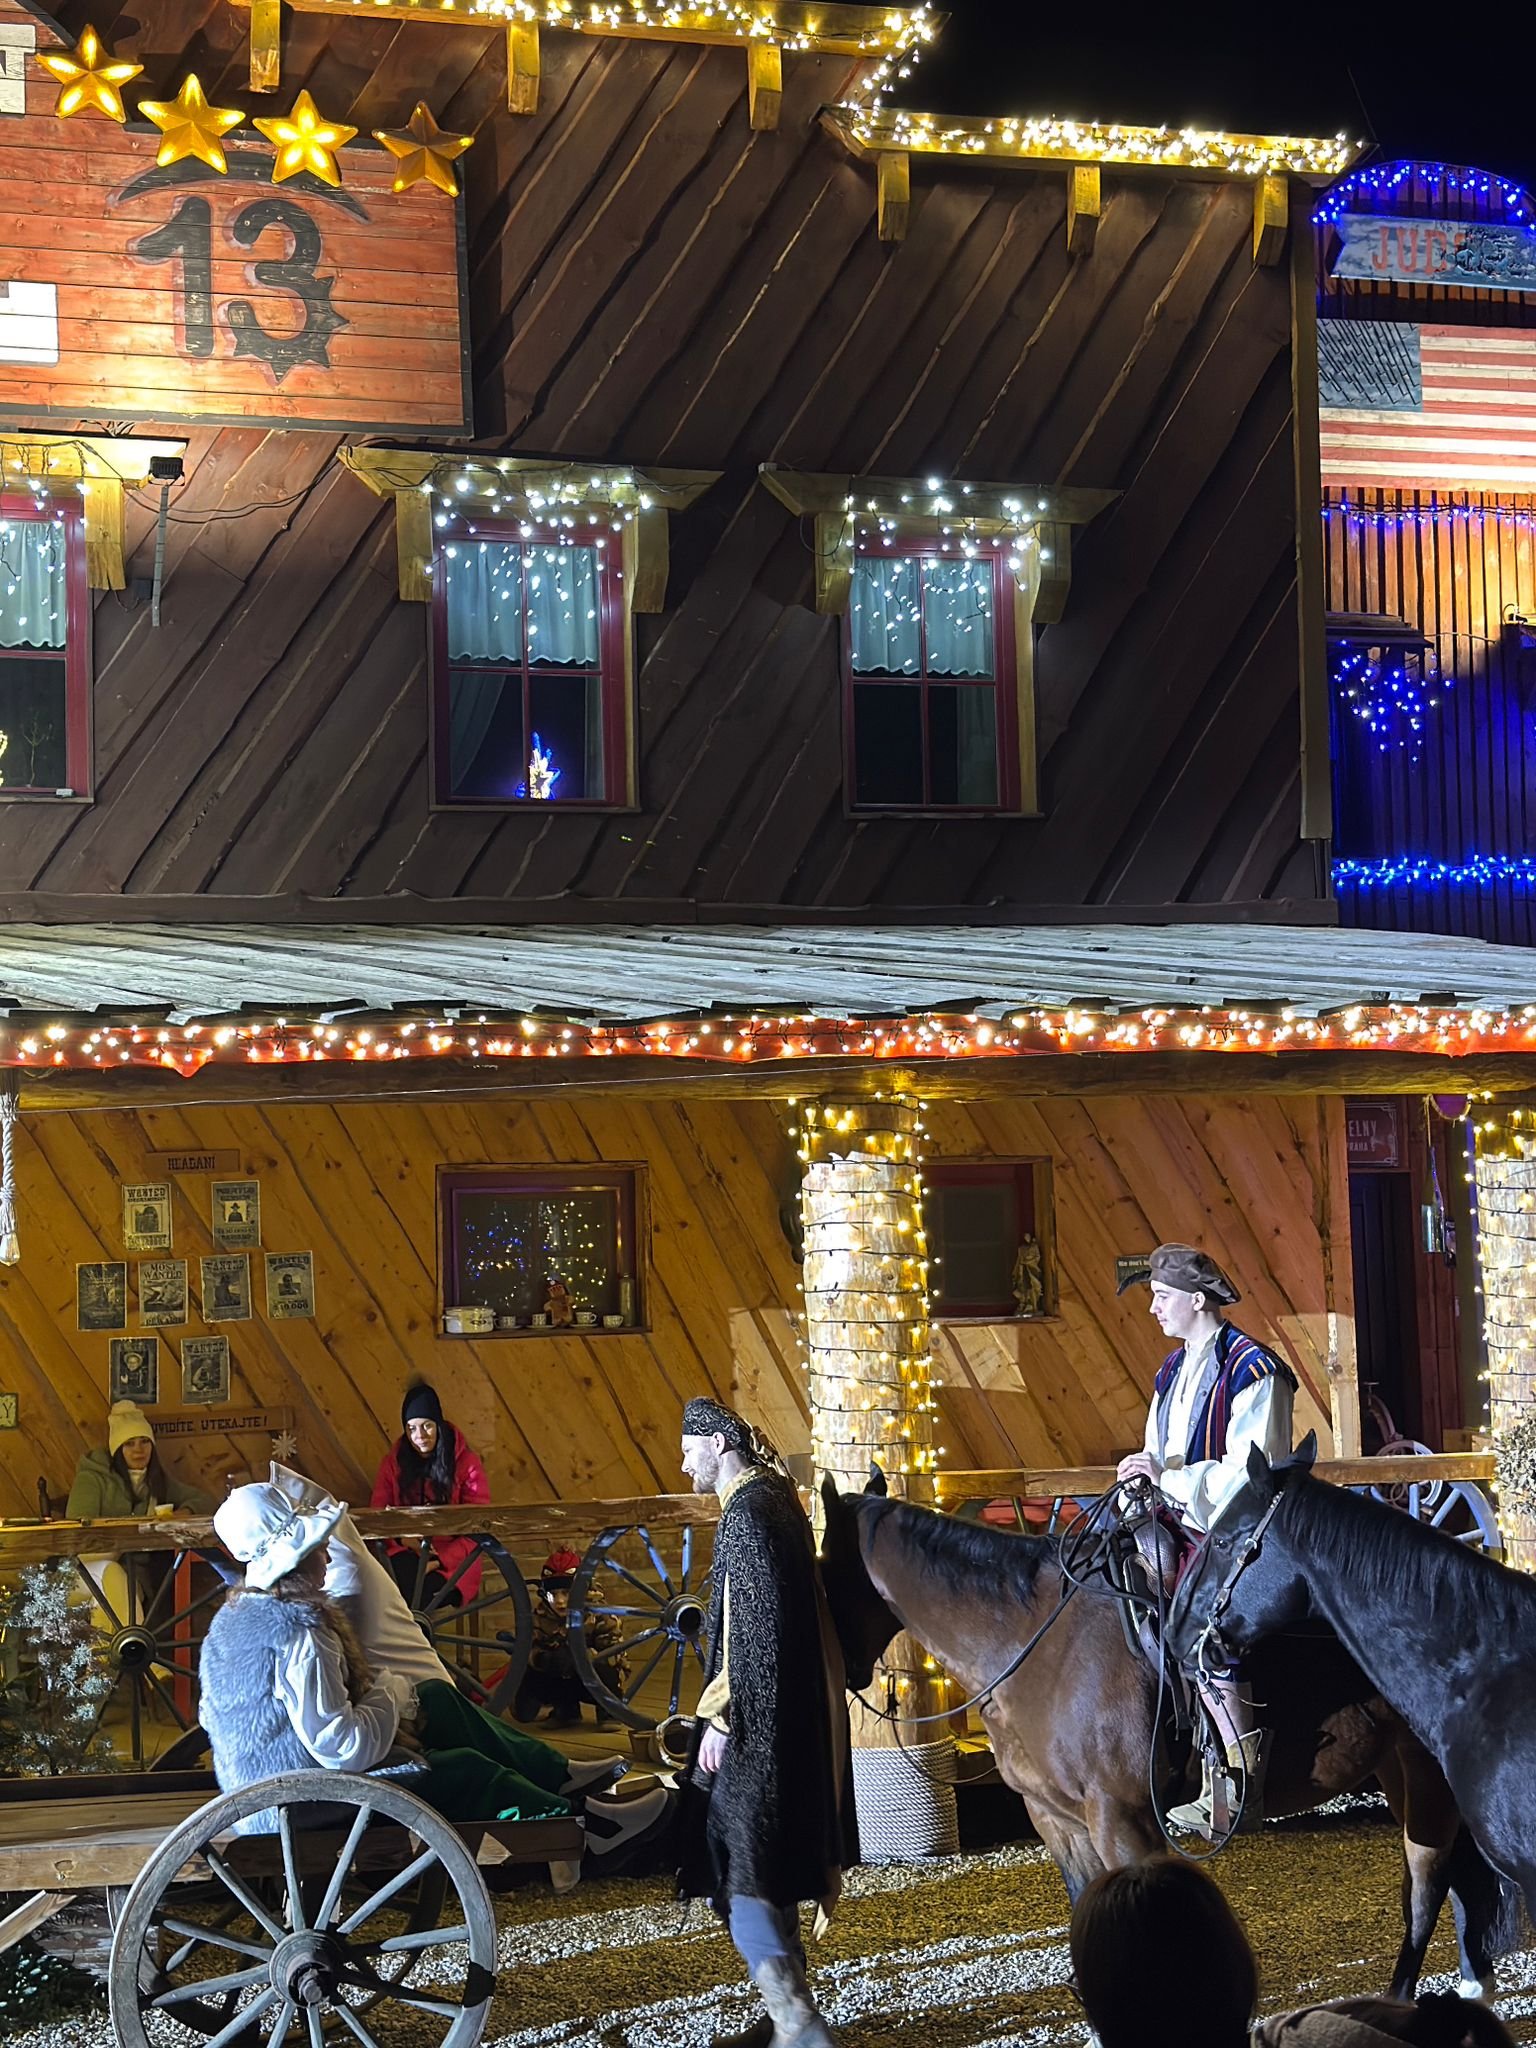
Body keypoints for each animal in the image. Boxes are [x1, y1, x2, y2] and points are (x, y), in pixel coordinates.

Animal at [817, 1473, 1520, 2000]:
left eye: (821, 1568)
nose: (844, 1671)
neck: (1033, 1643)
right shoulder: (1057, 1822)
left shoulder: (1123, 1821)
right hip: (1399, 1769)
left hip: (1427, 1776)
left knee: (1427, 1889)